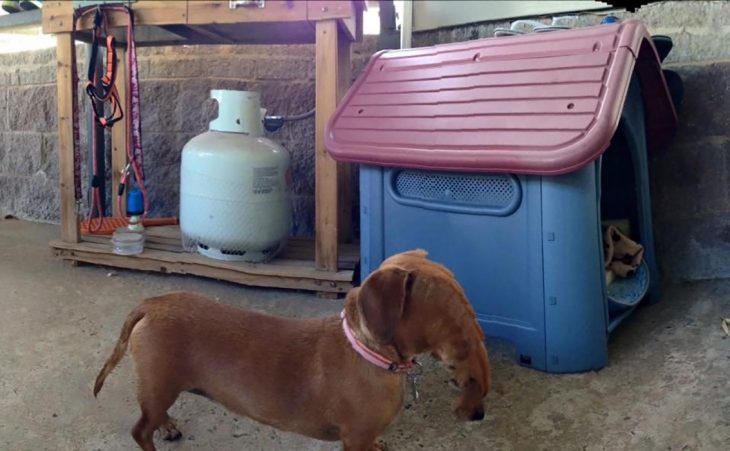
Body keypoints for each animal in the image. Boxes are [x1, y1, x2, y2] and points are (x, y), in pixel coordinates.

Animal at [92, 249, 490, 450]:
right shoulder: (355, 438)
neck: (367, 353)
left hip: (162, 386)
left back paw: (168, 425)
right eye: (457, 315)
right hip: (160, 383)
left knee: (153, 414)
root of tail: (152, 303)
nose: (478, 413)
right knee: (140, 430)